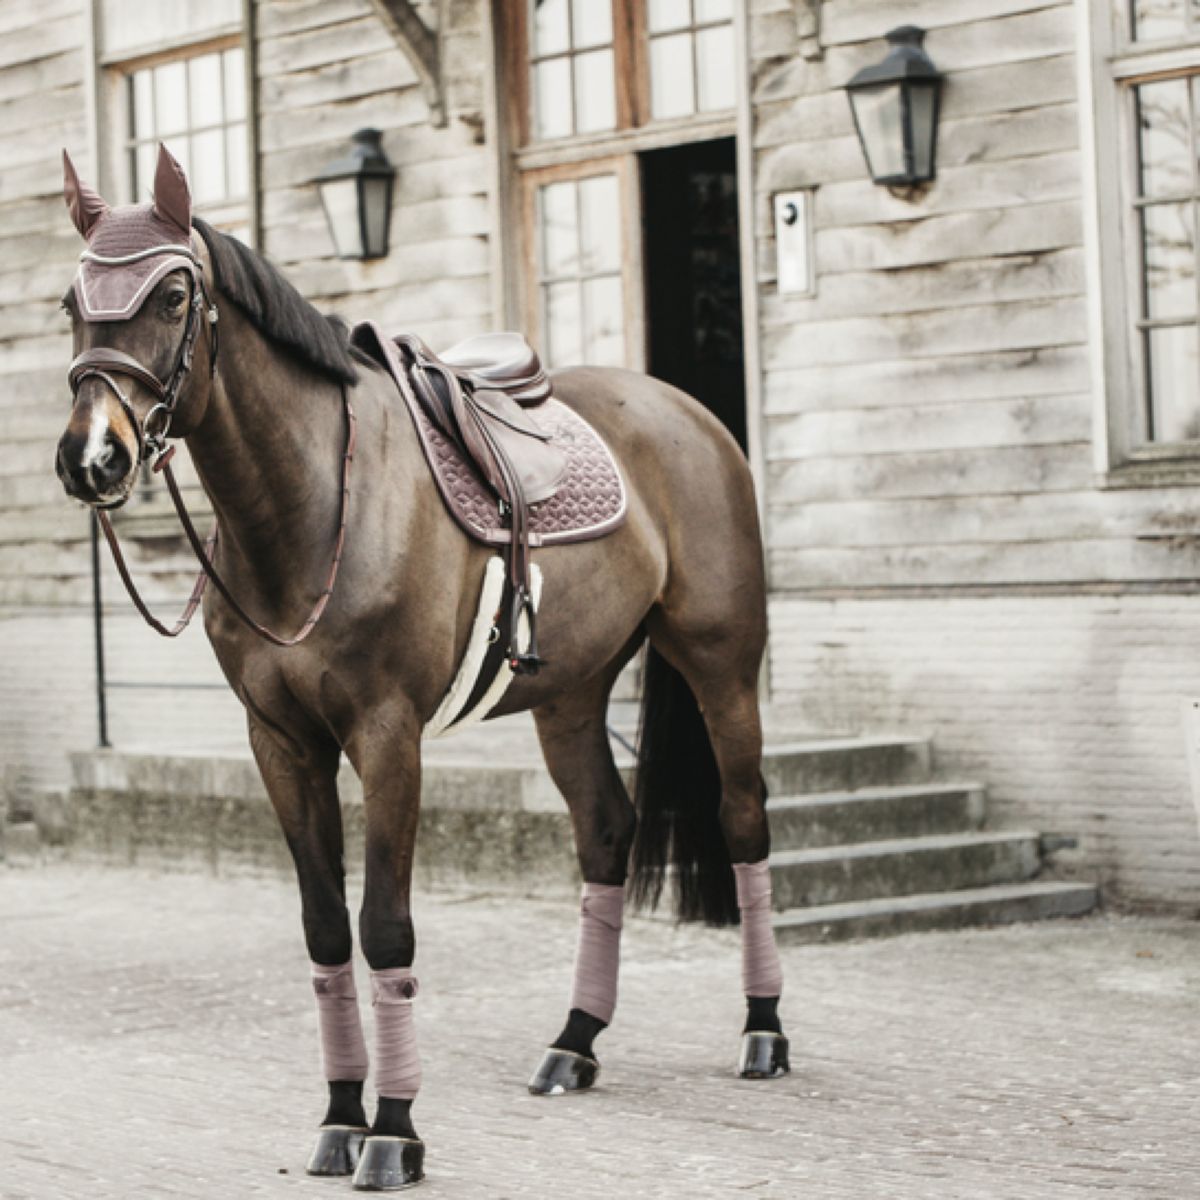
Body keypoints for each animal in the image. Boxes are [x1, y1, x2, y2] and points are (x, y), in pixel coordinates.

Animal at [56, 145, 787, 1185]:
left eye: (171, 294)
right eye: (71, 301)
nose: (93, 458)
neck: (315, 504)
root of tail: (686, 411)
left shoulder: (387, 737)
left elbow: (384, 926)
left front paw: (395, 1130)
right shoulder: (281, 743)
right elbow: (326, 927)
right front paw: (340, 1116)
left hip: (719, 666)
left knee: (744, 821)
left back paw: (764, 1030)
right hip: (569, 695)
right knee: (606, 832)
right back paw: (574, 1041)